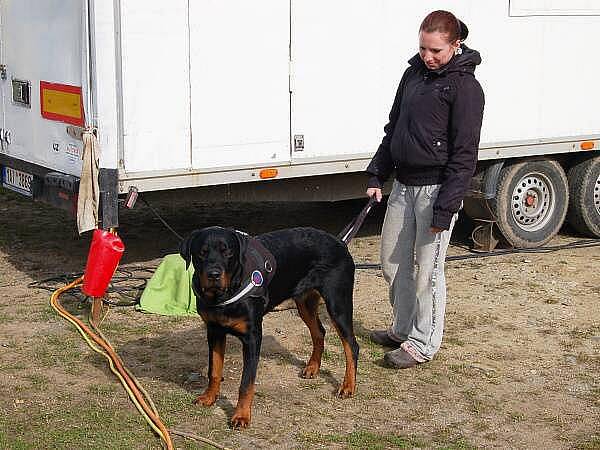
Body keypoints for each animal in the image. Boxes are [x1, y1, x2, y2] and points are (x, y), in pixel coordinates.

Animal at [180, 227, 358, 428]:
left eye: (228, 252)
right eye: (201, 253)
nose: (213, 275)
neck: (224, 294)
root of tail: (339, 241)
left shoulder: (252, 337)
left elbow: (246, 383)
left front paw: (241, 416)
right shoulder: (214, 331)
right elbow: (214, 371)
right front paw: (209, 397)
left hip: (338, 304)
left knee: (351, 345)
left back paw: (348, 386)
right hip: (304, 301)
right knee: (319, 331)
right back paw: (312, 367)